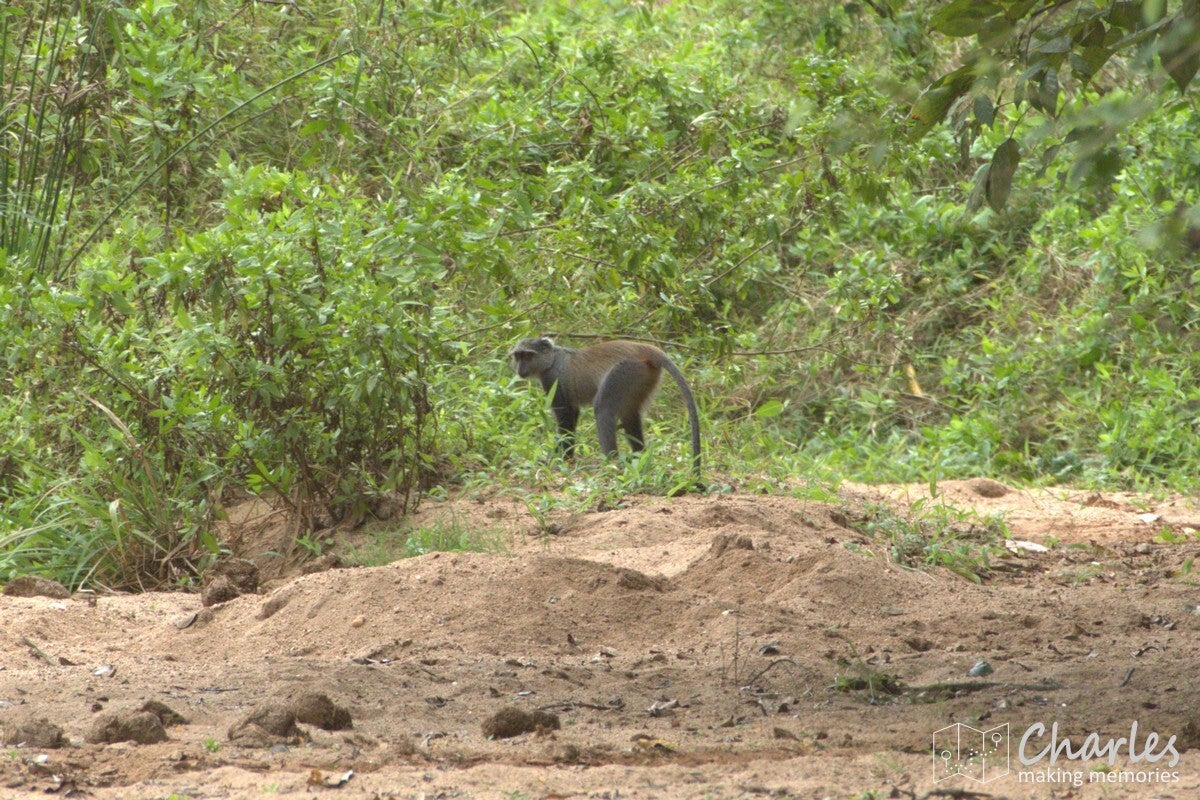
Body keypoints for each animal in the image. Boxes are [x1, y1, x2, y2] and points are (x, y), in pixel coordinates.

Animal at [509, 336, 701, 482]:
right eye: (518, 356)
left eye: (527, 355)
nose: (520, 369)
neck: (552, 359)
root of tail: (642, 348)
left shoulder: (552, 379)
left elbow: (567, 416)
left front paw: (562, 459)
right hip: (642, 376)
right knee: (630, 415)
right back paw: (638, 456)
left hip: (624, 371)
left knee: (603, 407)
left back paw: (610, 462)